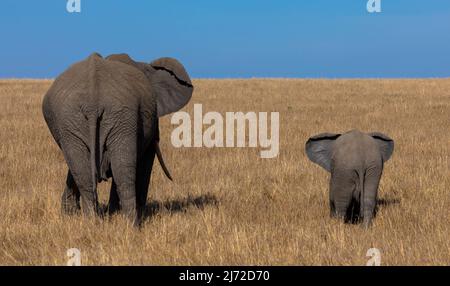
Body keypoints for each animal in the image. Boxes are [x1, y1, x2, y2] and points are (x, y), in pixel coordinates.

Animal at [40, 52, 192, 225]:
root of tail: (93, 97)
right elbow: (145, 161)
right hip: (117, 117)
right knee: (123, 173)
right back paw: (131, 225)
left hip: (76, 119)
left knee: (85, 172)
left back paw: (93, 222)